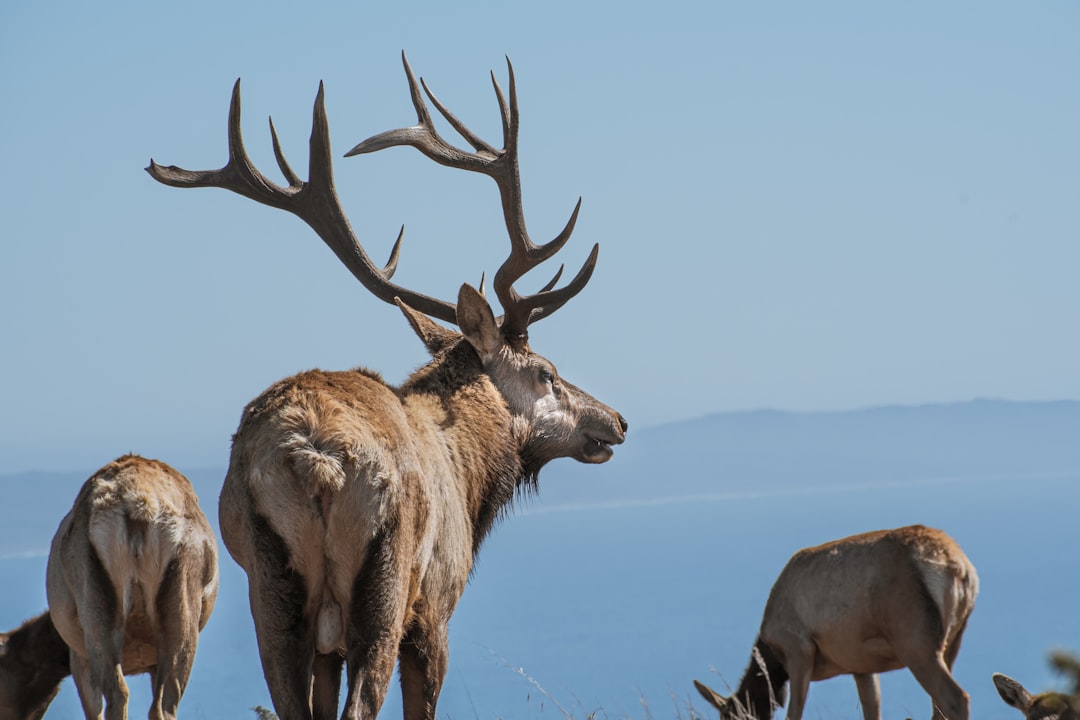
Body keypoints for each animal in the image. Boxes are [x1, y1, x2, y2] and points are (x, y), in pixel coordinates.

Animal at [33, 454, 219, 720]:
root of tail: (140, 506)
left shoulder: (78, 656)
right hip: (179, 608)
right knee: (157, 703)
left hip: (99, 614)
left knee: (122, 695)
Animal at [146, 52, 627, 720]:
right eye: (546, 373)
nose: (617, 420)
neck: (471, 473)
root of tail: (314, 456)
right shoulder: (436, 607)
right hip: (386, 576)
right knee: (364, 699)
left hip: (267, 588)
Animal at [693, 525, 978, 720]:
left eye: (729, 718)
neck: (772, 654)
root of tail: (959, 567)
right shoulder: (861, 665)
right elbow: (872, 711)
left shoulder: (799, 650)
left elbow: (794, 713)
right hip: (953, 639)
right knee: (939, 706)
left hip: (915, 641)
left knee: (955, 698)